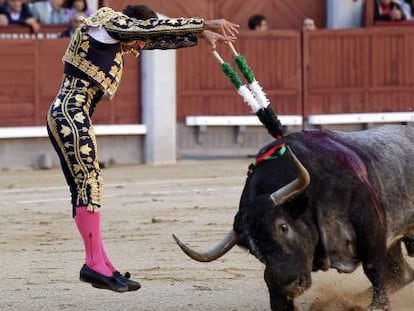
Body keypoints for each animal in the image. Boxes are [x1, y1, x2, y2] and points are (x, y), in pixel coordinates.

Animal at [173, 124, 414, 311]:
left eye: (283, 227)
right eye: (253, 250)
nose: (289, 286)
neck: (314, 195)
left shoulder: (370, 224)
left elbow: (373, 266)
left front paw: (377, 306)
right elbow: (276, 296)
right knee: (401, 274)